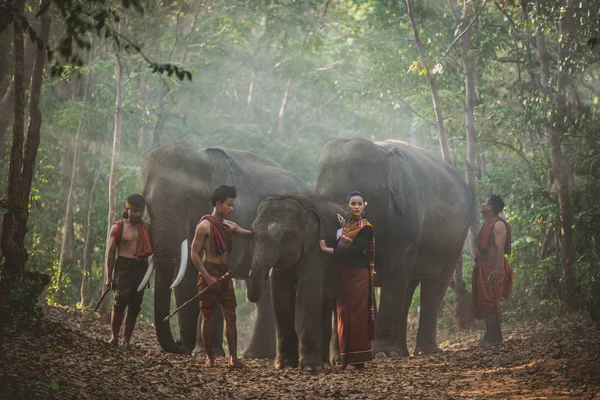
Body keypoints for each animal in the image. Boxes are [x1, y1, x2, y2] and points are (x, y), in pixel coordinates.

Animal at [142, 144, 310, 356]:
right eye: (146, 201)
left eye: (189, 199)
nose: (178, 345)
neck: (204, 157)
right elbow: (186, 277)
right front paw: (190, 348)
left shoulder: (235, 218)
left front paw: (205, 352)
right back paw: (255, 355)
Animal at [246, 193, 344, 372]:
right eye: (253, 233)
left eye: (288, 236)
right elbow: (280, 292)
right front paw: (283, 364)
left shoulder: (315, 249)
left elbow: (307, 289)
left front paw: (310, 368)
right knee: (325, 304)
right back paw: (326, 360)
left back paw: (338, 361)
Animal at [316, 139, 476, 358]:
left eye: (354, 204)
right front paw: (342, 357)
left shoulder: (407, 219)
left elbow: (395, 272)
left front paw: (384, 354)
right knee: (409, 288)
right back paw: (402, 352)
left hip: (456, 240)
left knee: (433, 286)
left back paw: (422, 351)